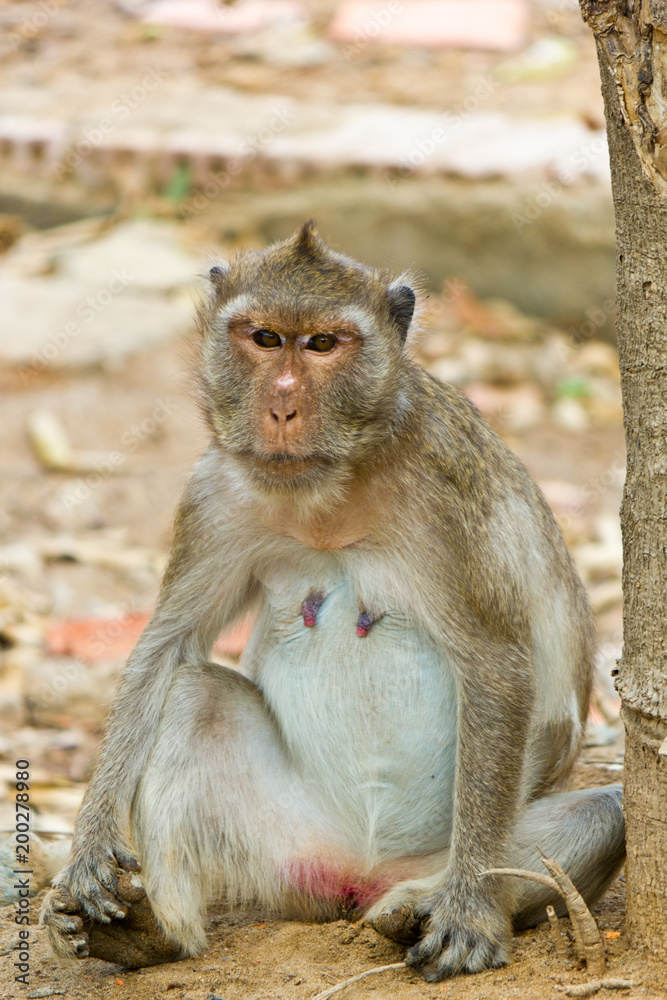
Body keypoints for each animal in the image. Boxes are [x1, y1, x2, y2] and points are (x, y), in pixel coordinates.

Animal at [40, 221, 625, 981]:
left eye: (323, 344)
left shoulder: (447, 494)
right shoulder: (215, 494)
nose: (283, 405)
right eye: (264, 338)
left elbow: (496, 665)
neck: (334, 488)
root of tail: (356, 878)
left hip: (444, 849)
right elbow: (166, 648)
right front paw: (89, 849)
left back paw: (420, 906)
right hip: (282, 851)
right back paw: (154, 932)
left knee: (604, 816)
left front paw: (468, 914)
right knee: (194, 692)